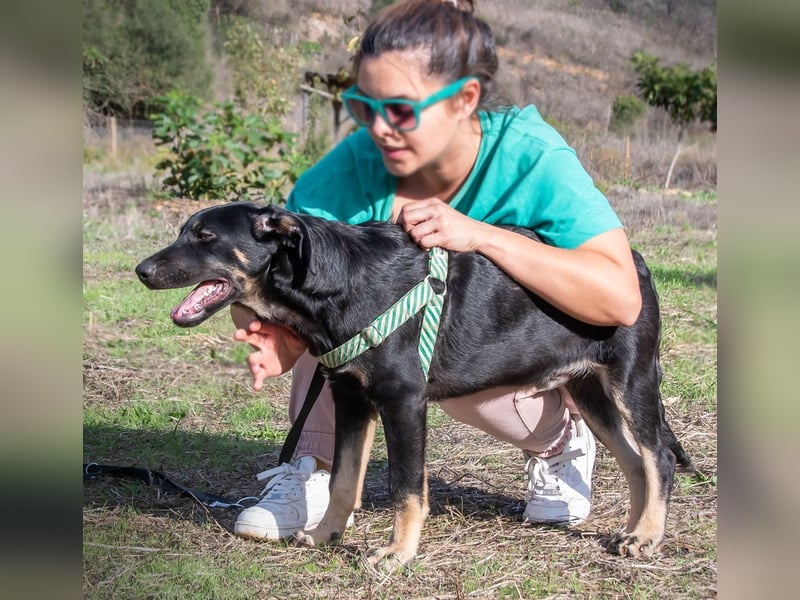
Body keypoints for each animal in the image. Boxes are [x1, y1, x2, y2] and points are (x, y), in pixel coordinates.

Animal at [138, 204, 692, 568]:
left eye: (205, 236)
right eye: (184, 231)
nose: (140, 270)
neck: (337, 283)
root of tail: (637, 263)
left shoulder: (404, 401)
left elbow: (406, 486)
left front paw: (397, 554)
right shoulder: (350, 397)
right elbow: (343, 480)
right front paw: (326, 534)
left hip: (631, 379)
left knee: (659, 456)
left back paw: (646, 539)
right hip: (591, 391)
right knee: (635, 461)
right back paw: (636, 532)